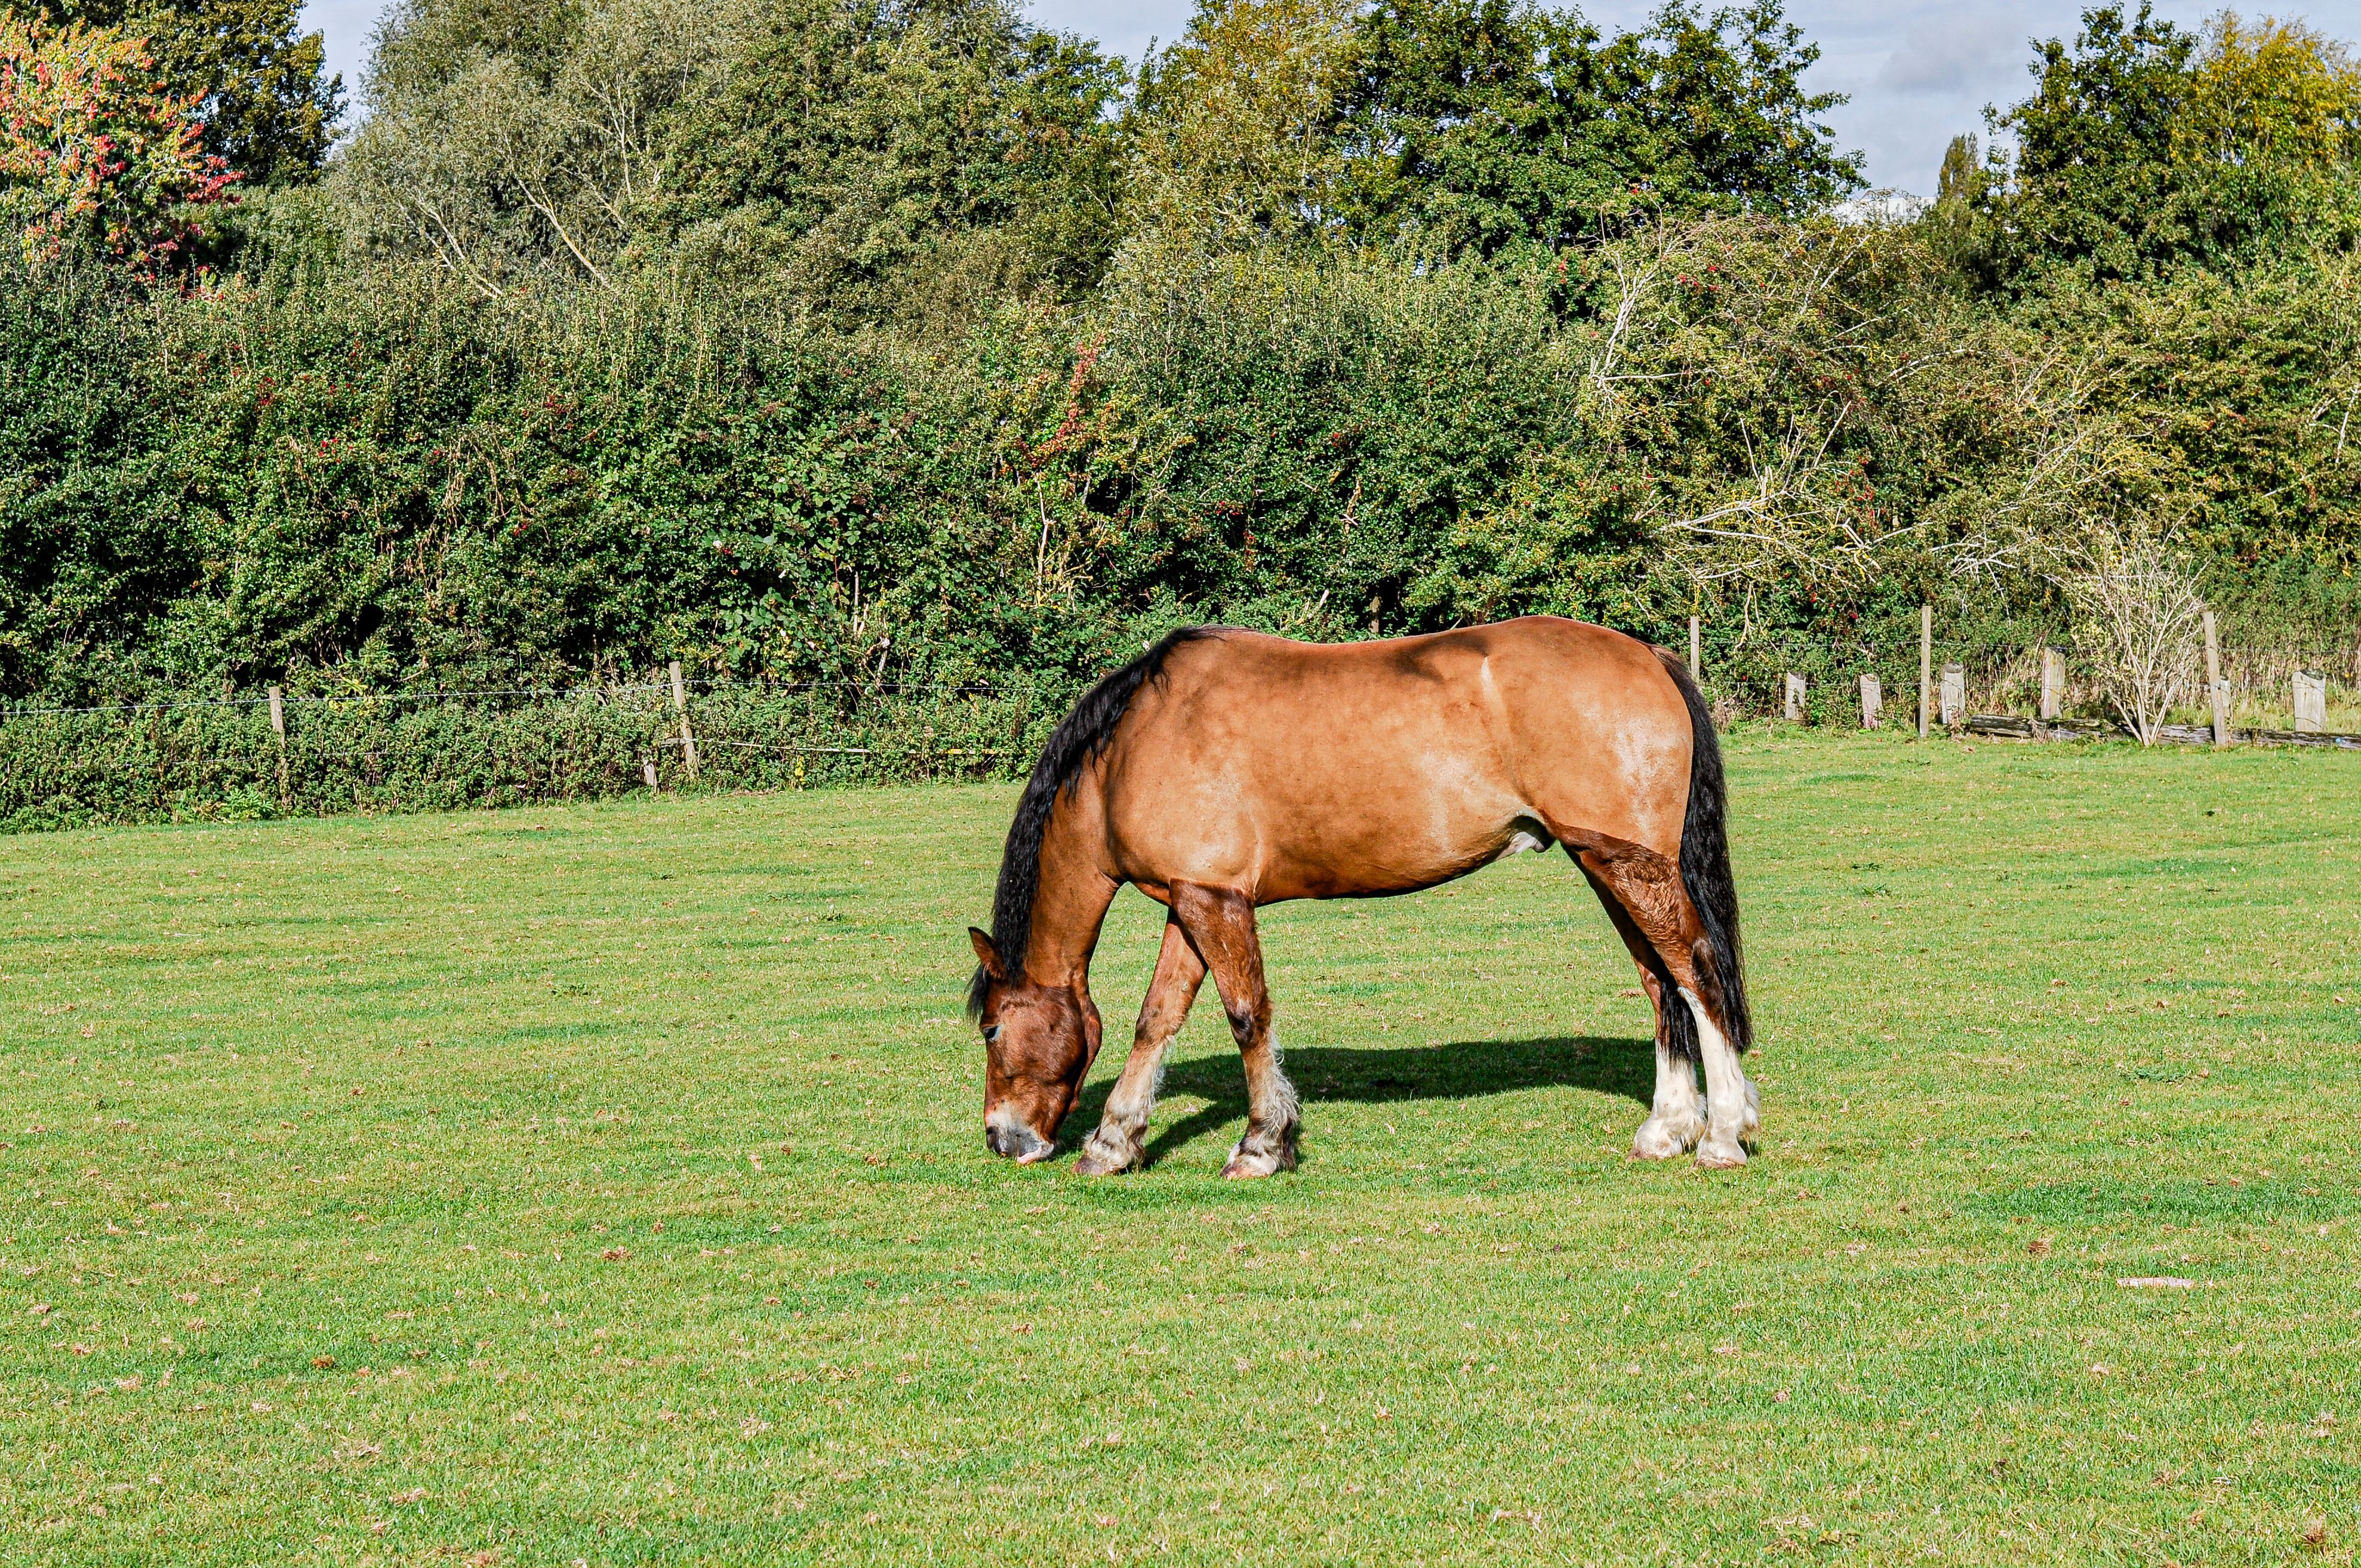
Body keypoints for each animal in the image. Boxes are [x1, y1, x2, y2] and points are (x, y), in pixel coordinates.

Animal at [963, 615, 1758, 1177]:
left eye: (993, 1028)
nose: (1004, 1138)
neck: (1136, 742)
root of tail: (1649, 657)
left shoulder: (1214, 901)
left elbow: (1246, 1017)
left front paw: (1260, 1144)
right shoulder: (1189, 899)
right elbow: (1157, 1020)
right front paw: (1115, 1141)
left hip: (1629, 867)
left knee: (1696, 971)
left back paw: (1721, 1134)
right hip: (1607, 866)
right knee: (1661, 984)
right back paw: (1666, 1129)